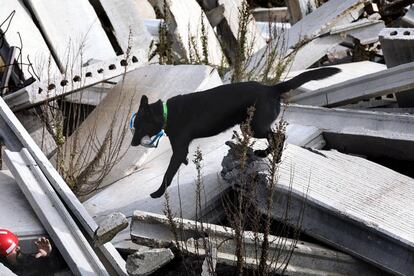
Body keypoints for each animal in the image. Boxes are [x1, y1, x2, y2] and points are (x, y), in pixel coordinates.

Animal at [132, 67, 340, 197]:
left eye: (140, 126)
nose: (133, 143)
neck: (166, 113)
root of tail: (271, 88)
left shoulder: (179, 148)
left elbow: (168, 174)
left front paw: (158, 193)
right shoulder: (181, 149)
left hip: (255, 127)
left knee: (278, 137)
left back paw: (274, 157)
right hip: (250, 125)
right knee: (275, 137)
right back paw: (266, 154)